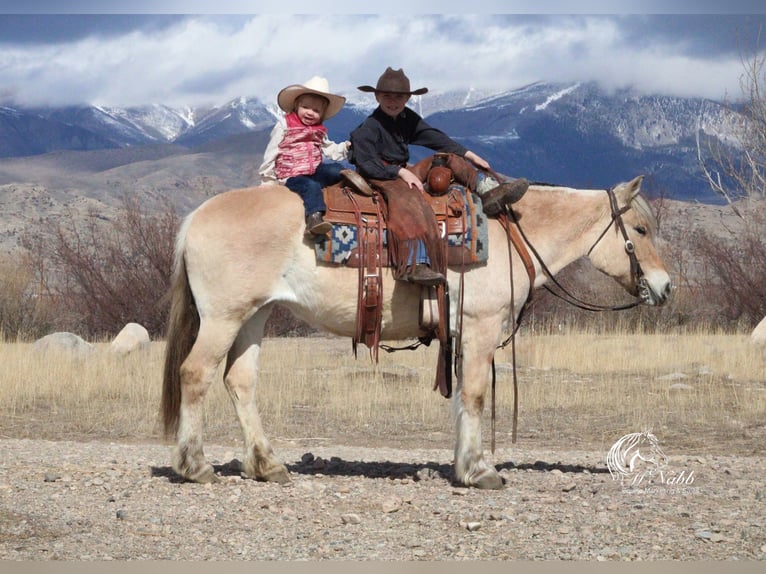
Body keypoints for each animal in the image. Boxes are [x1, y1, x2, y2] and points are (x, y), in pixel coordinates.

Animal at [162, 174, 672, 490]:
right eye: (640, 229)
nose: (665, 287)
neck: (510, 235)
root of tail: (196, 217)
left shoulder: (463, 336)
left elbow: (463, 396)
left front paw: (463, 465)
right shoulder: (481, 328)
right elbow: (475, 396)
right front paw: (479, 471)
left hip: (254, 316)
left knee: (240, 382)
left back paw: (268, 466)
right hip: (224, 318)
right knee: (195, 374)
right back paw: (195, 466)